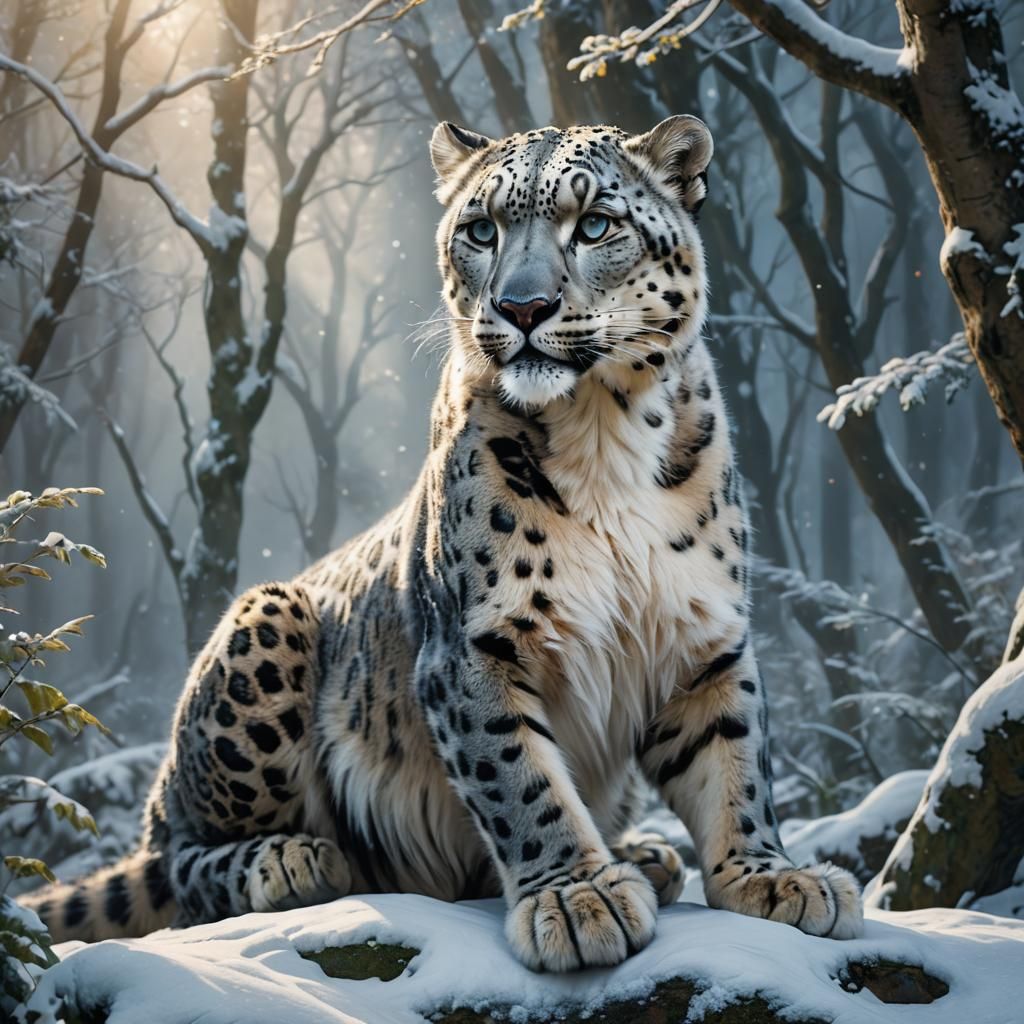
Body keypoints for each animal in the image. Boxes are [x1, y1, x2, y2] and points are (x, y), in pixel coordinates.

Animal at [22, 116, 862, 972]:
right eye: (481, 230)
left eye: (595, 224)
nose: (523, 305)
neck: (605, 433)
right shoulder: (473, 644)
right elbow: (518, 777)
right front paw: (577, 897)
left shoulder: (705, 636)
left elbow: (736, 762)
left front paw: (769, 875)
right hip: (264, 630)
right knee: (179, 854)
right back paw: (292, 861)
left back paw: (648, 856)